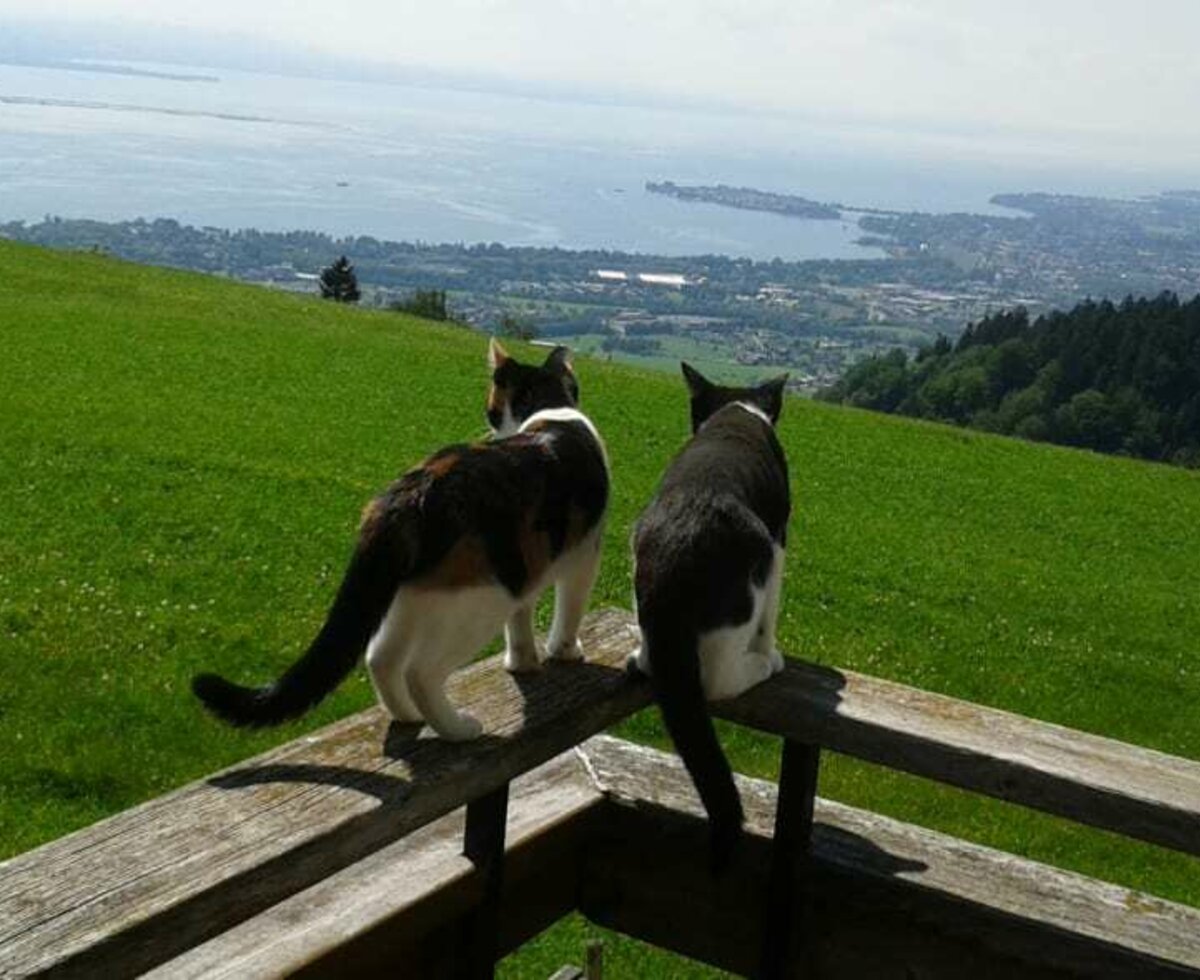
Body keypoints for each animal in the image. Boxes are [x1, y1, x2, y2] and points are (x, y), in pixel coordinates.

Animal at [199, 340, 609, 738]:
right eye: (492, 409)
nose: (496, 429)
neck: (550, 409)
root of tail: (409, 493)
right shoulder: (583, 555)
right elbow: (570, 610)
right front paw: (565, 652)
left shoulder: (531, 566)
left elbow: (521, 622)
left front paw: (523, 663)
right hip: (484, 595)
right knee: (420, 671)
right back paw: (459, 729)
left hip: (413, 592)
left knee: (379, 657)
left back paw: (408, 717)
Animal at [628, 362, 787, 868]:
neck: (736, 409)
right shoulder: (780, 539)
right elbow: (773, 612)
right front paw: (773, 652)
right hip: (750, 572)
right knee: (719, 679)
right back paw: (761, 664)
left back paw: (639, 656)